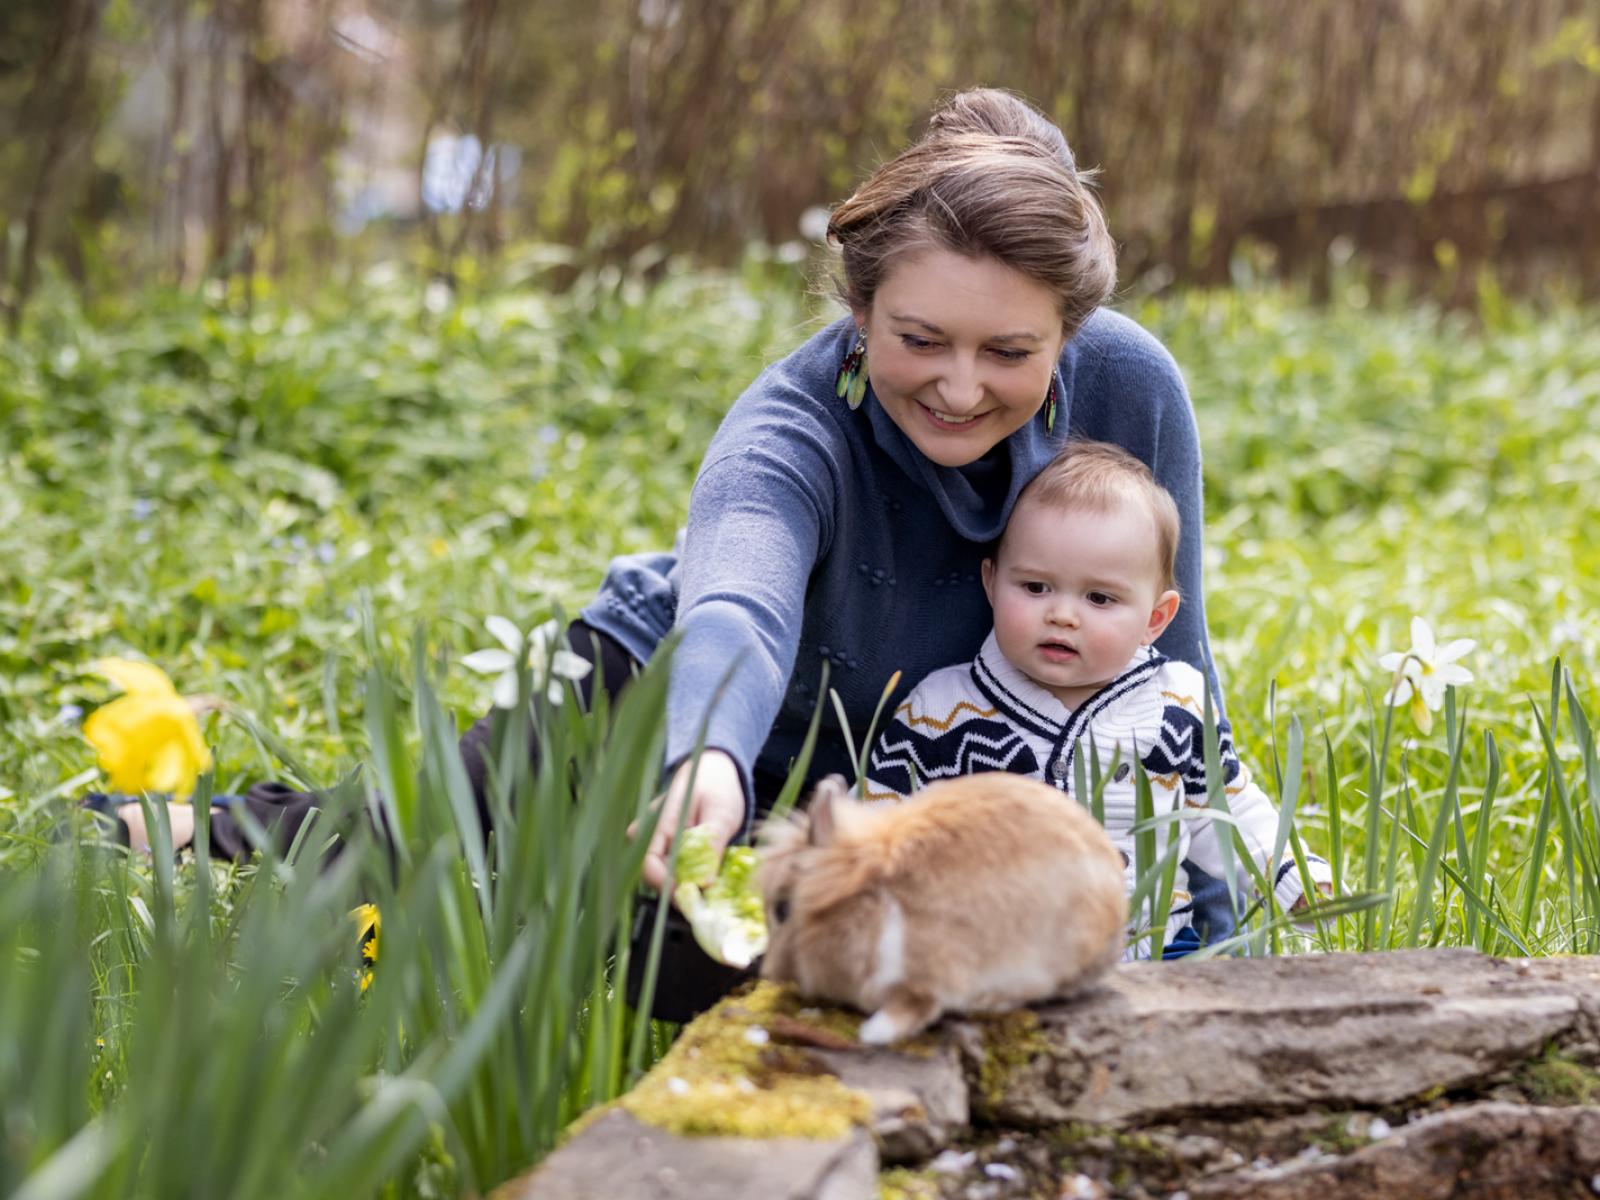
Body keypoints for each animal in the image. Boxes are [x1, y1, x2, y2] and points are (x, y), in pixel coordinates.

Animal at [752, 774, 1120, 1049]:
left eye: (782, 910)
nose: (769, 973)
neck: (869, 904)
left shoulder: (928, 977)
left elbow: (915, 1008)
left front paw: (873, 1033)